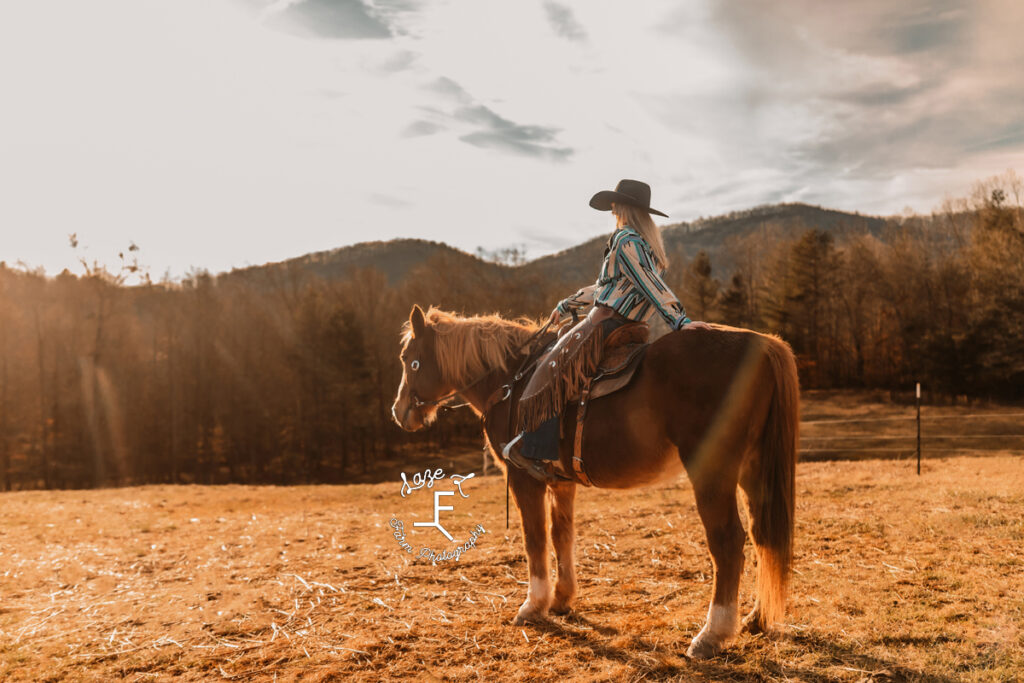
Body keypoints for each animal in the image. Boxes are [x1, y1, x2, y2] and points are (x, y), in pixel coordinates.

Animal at [387, 305, 794, 655]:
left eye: (409, 359)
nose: (399, 411)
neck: (510, 381)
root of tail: (761, 345)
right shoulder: (561, 481)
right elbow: (561, 534)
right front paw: (562, 598)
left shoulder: (523, 478)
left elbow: (535, 538)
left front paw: (533, 605)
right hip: (753, 470)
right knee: (763, 535)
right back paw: (756, 618)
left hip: (712, 472)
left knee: (727, 543)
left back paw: (712, 633)